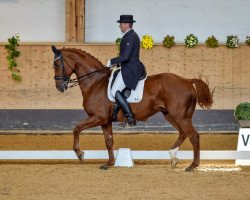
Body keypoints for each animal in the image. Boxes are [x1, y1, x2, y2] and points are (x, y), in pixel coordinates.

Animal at [52, 46, 213, 171]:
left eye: (58, 65)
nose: (60, 88)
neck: (95, 82)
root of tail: (187, 81)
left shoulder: (98, 117)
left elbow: (76, 128)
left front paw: (79, 153)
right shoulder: (105, 121)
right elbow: (108, 141)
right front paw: (109, 163)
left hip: (180, 116)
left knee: (193, 136)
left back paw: (192, 166)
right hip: (170, 115)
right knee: (183, 133)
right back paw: (173, 157)